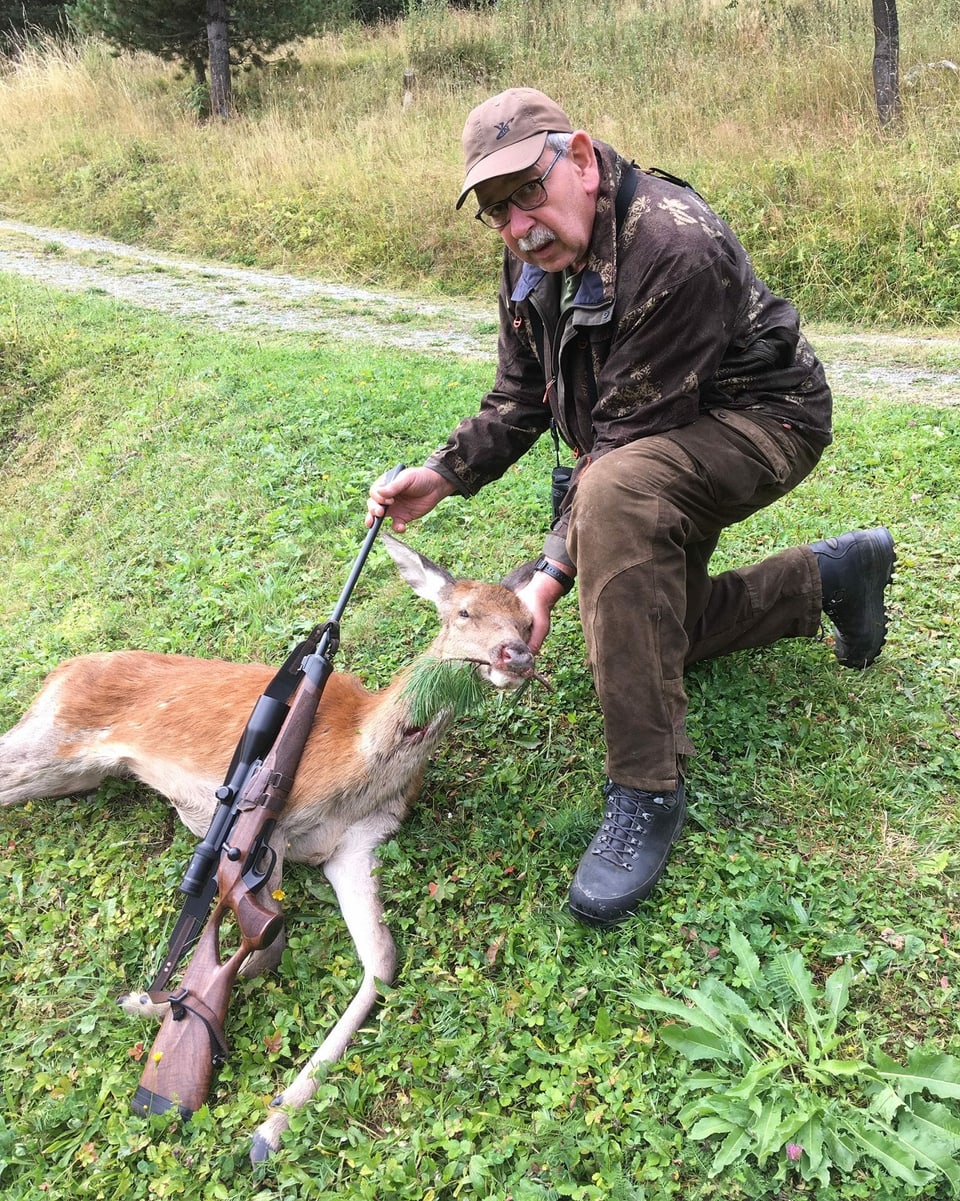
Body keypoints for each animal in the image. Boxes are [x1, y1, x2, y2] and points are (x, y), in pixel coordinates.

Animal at [0, 533, 540, 1152]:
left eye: (528, 621)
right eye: (463, 612)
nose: (514, 655)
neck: (359, 761)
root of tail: (56, 673)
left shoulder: (357, 844)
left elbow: (380, 959)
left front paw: (273, 1123)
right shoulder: (271, 835)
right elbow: (268, 947)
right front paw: (151, 1002)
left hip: (73, 772)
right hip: (46, 741)